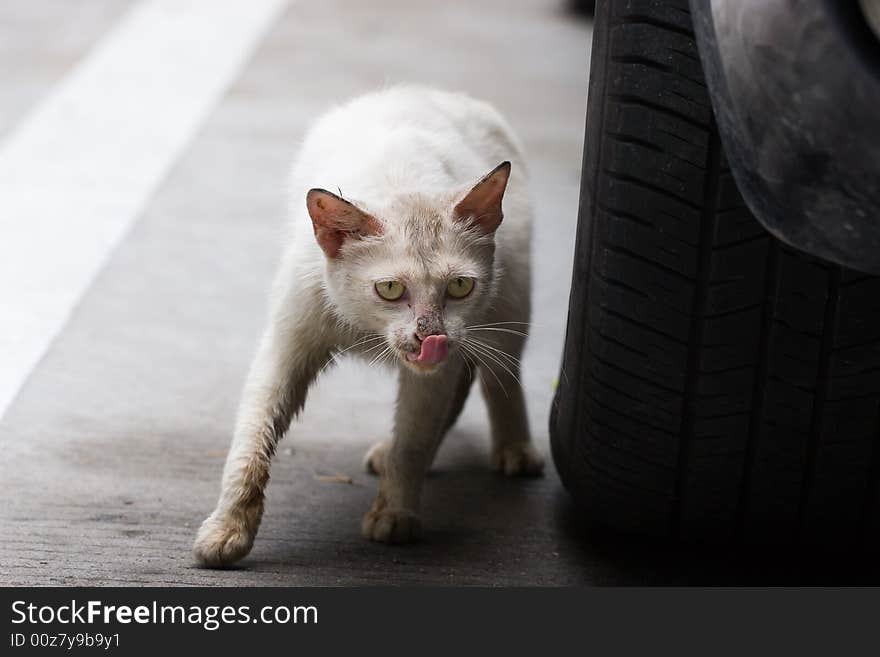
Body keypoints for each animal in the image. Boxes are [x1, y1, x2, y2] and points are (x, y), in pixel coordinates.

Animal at [192, 87, 544, 568]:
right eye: (390, 288)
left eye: (459, 285)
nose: (430, 334)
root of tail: (443, 93)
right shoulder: (285, 342)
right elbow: (251, 437)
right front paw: (227, 529)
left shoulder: (438, 365)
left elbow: (414, 438)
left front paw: (395, 513)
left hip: (510, 303)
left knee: (500, 376)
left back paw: (514, 449)